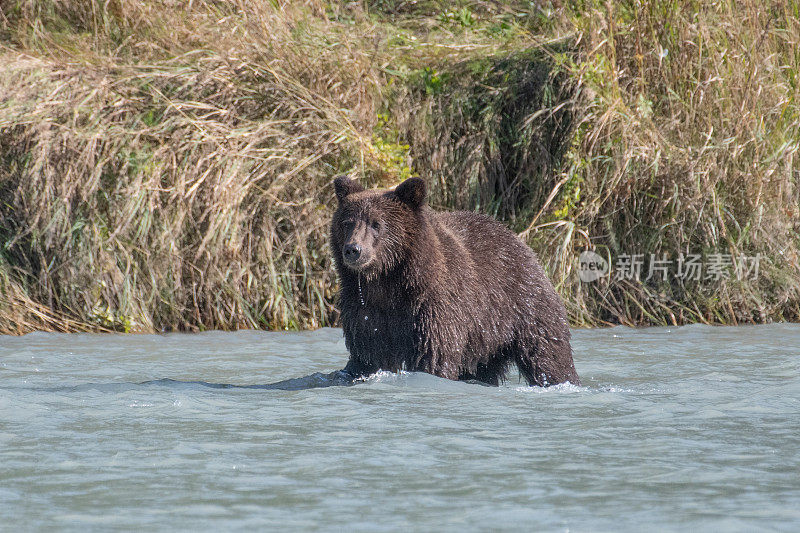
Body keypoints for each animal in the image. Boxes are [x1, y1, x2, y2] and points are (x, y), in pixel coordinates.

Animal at [328, 176, 580, 386]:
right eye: (347, 222)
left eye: (376, 223)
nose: (353, 250)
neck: (386, 282)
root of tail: (520, 241)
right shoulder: (364, 310)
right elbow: (367, 355)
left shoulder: (434, 306)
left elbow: (435, 356)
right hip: (486, 336)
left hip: (524, 304)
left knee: (549, 355)